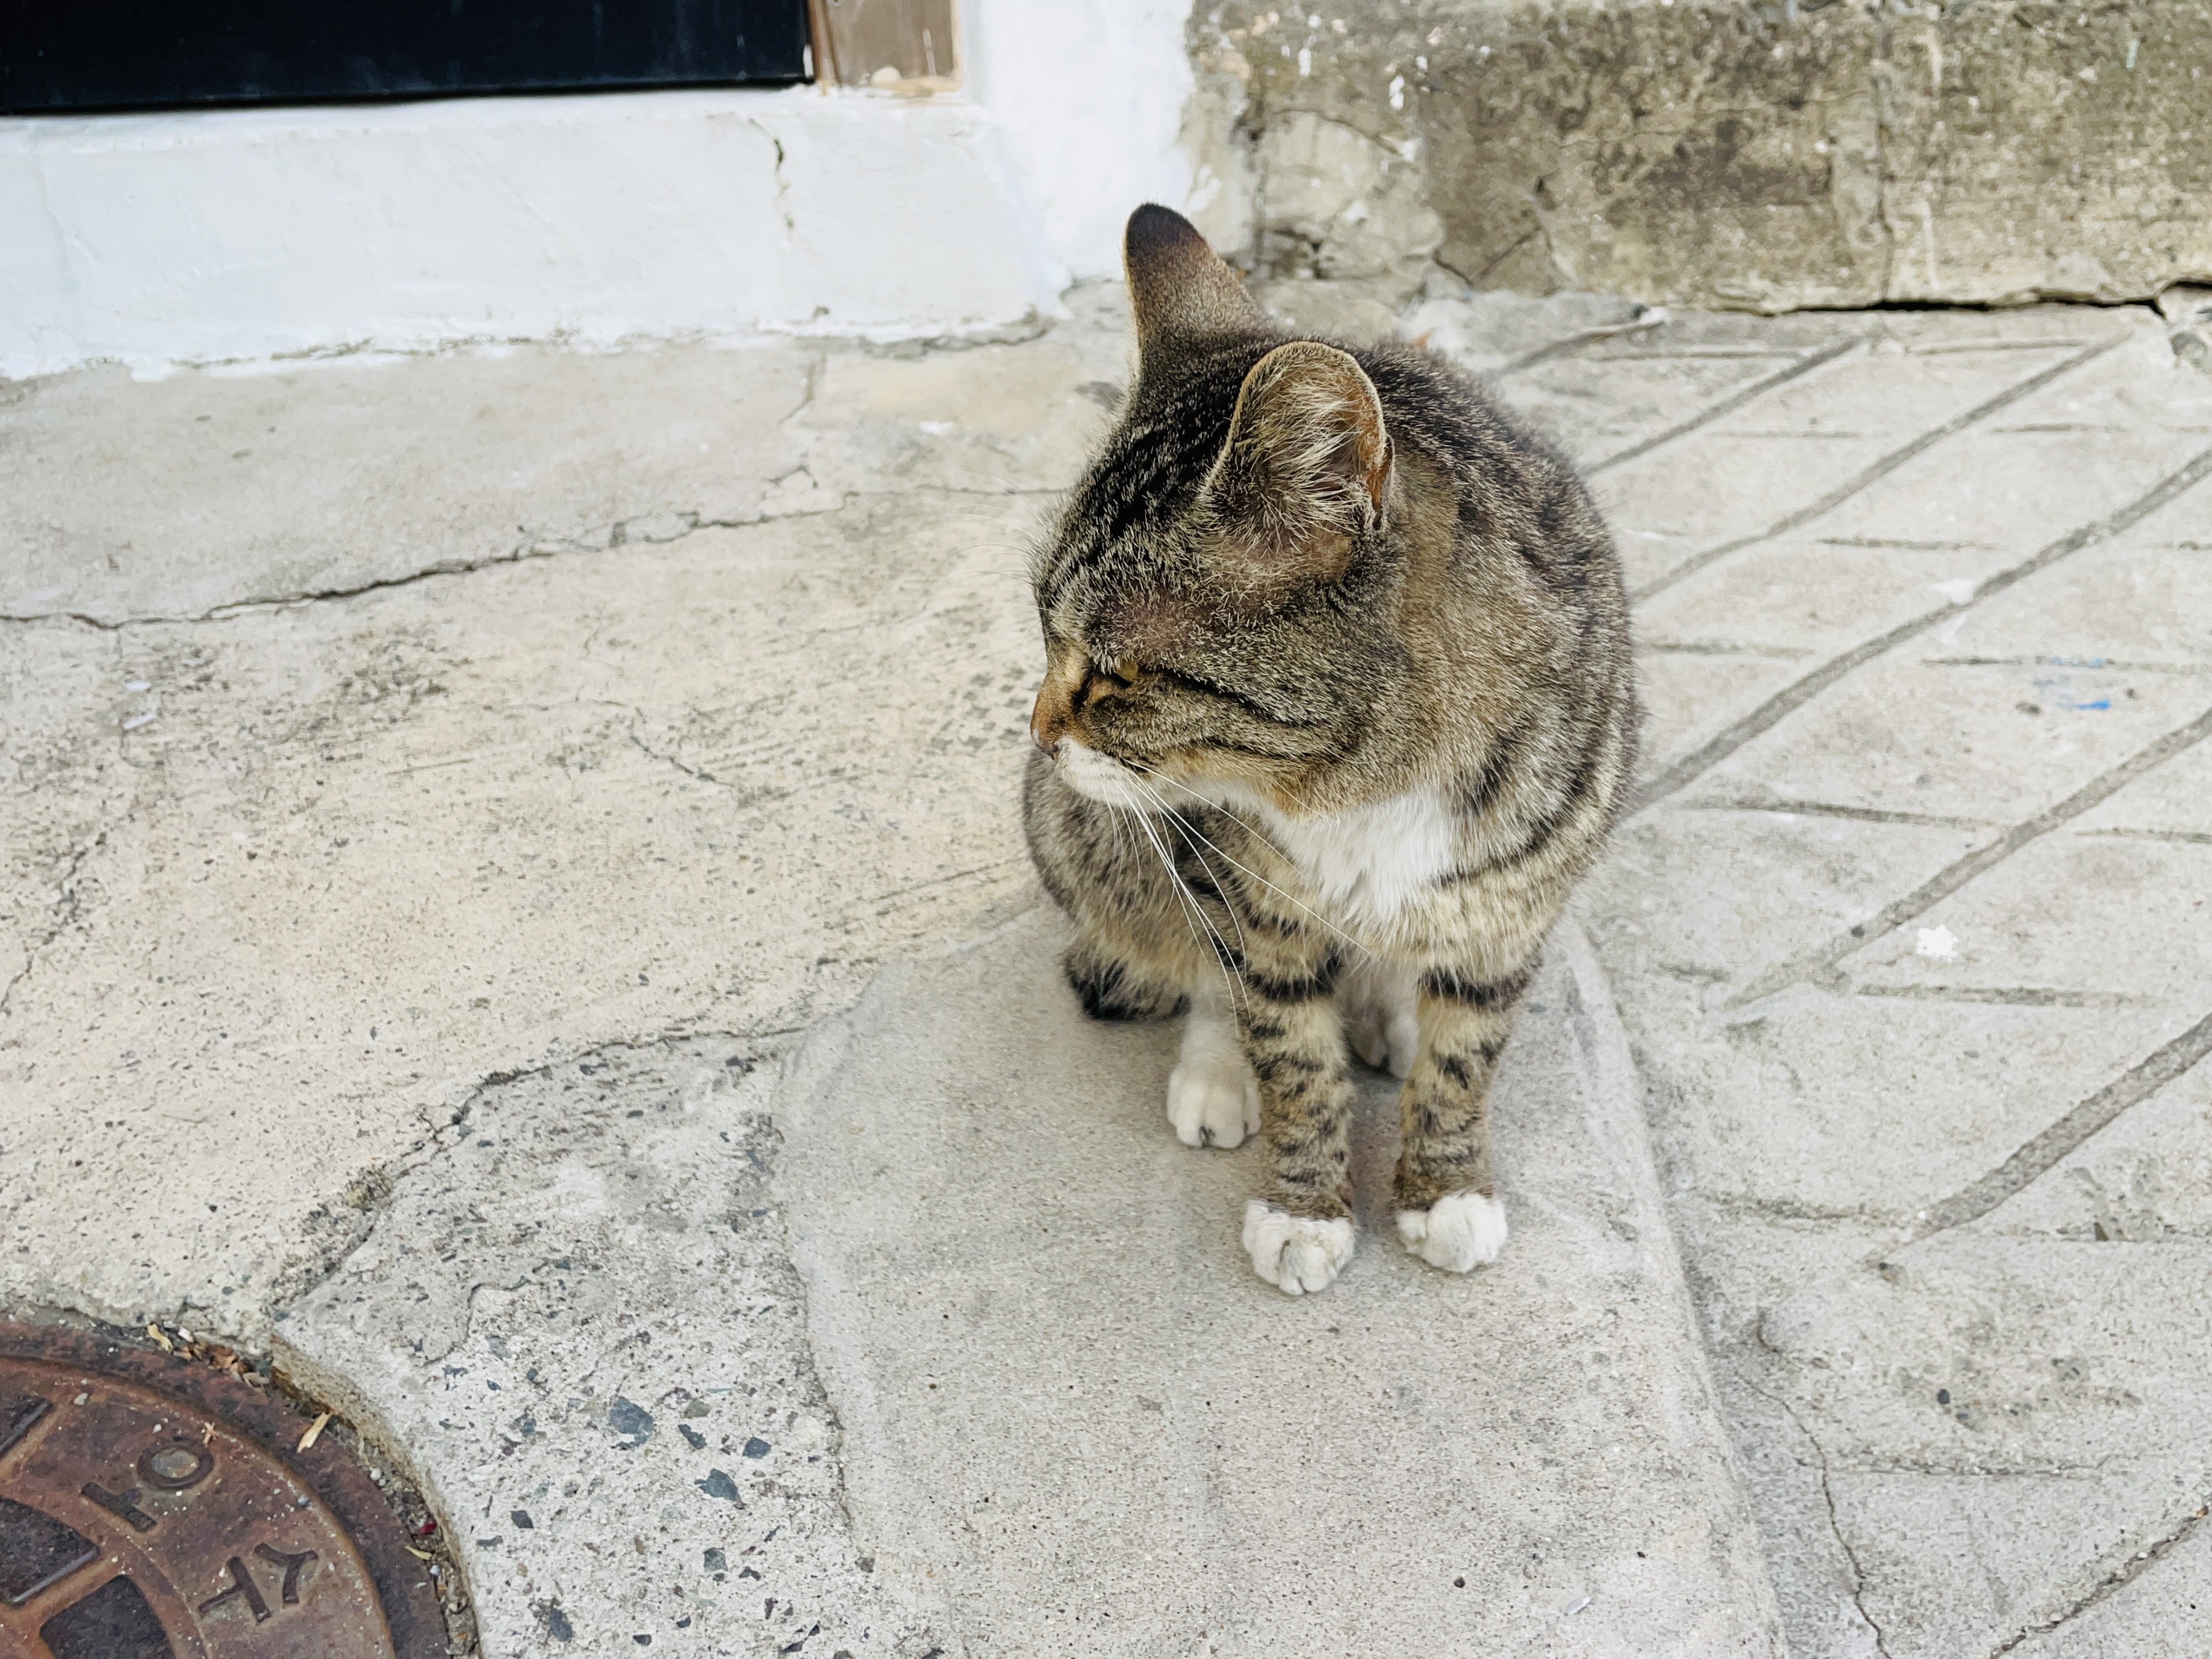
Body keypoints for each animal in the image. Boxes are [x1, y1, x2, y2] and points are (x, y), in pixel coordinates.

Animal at [1023, 204, 1638, 1296]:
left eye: (1117, 673)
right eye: (1040, 628)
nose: (1038, 731)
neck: (1359, 790)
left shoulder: (1513, 909)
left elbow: (1464, 1058)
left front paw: (1444, 1187)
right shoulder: (1244, 885)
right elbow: (1286, 1044)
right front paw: (1302, 1204)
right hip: (1095, 840)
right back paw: (1220, 1068)